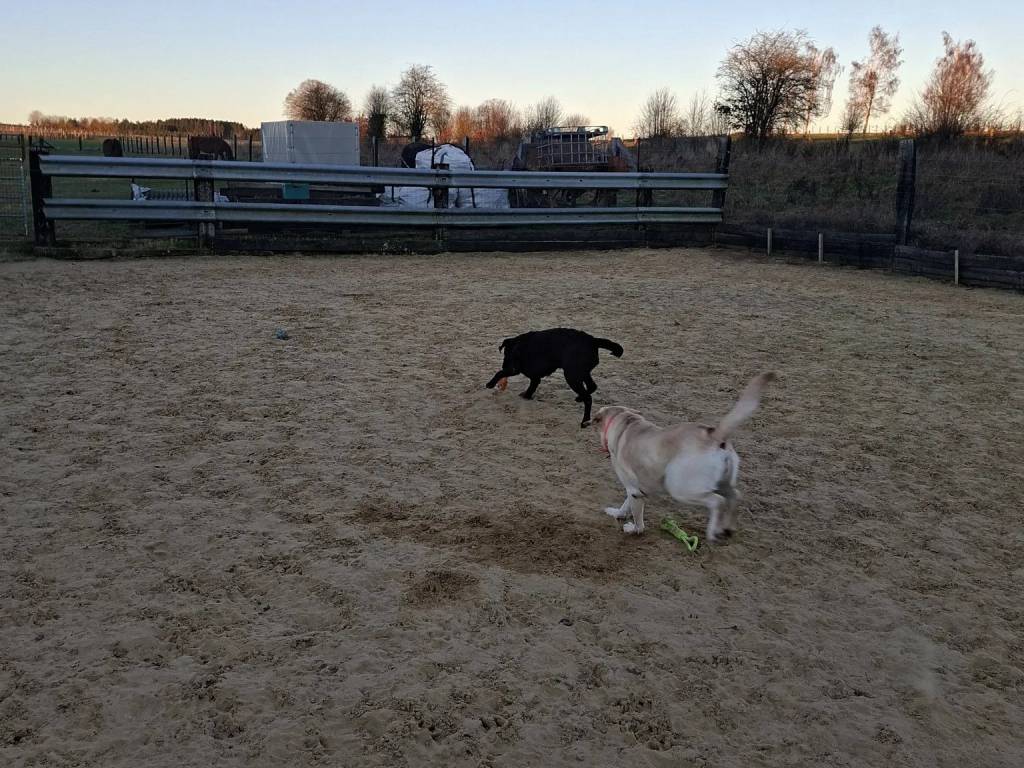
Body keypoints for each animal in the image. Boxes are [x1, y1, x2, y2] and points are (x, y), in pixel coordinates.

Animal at [485, 328, 624, 427]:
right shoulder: (534, 376)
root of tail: (592, 340)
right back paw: (579, 398)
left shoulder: (515, 370)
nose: (504, 364)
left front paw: (490, 384)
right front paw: (527, 396)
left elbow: (500, 373)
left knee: (588, 398)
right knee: (592, 387)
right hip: (581, 373)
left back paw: (584, 421)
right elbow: (531, 386)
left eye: (507, 354)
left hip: (572, 375)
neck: (518, 346)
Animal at [592, 372, 775, 542]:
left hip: (680, 488)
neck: (625, 425)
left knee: (717, 502)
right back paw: (728, 528)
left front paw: (633, 529)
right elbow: (626, 504)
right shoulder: (634, 488)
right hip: (721, 483)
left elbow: (638, 520)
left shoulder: (634, 491)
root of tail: (714, 434)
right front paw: (617, 513)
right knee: (734, 496)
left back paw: (712, 533)